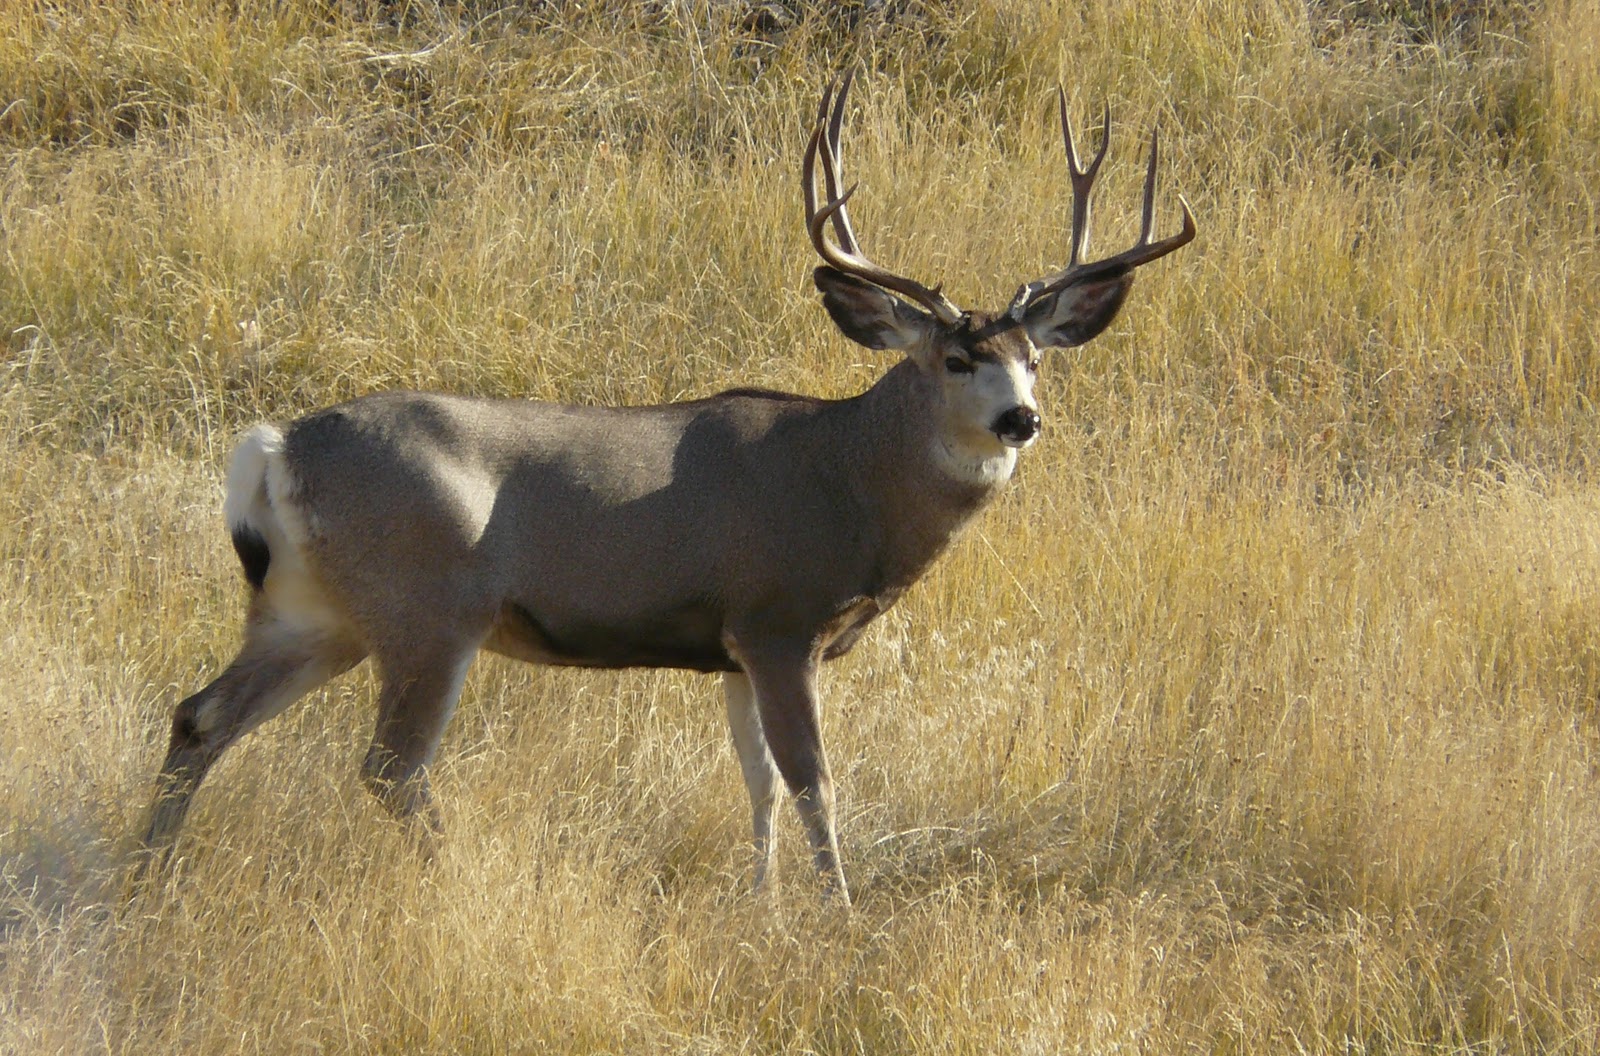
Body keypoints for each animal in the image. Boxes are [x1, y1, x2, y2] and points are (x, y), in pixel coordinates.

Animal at [140, 74, 1190, 902]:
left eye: (1035, 360)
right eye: (957, 357)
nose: (1021, 420)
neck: (848, 481)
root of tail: (276, 447)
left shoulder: (727, 647)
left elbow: (756, 783)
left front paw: (762, 904)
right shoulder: (777, 619)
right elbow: (812, 782)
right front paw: (835, 913)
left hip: (311, 611)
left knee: (200, 715)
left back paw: (146, 881)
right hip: (427, 609)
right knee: (390, 767)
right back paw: (452, 878)